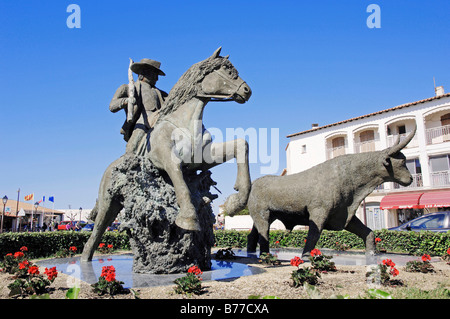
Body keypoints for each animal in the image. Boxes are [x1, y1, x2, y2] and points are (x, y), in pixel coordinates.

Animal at [82, 47, 251, 262]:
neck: (186, 122)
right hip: (107, 202)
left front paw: (235, 202)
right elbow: (180, 181)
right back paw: (85, 261)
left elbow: (242, 145)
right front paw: (188, 218)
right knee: (97, 230)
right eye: (227, 70)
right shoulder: (165, 158)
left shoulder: (201, 159)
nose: (247, 91)